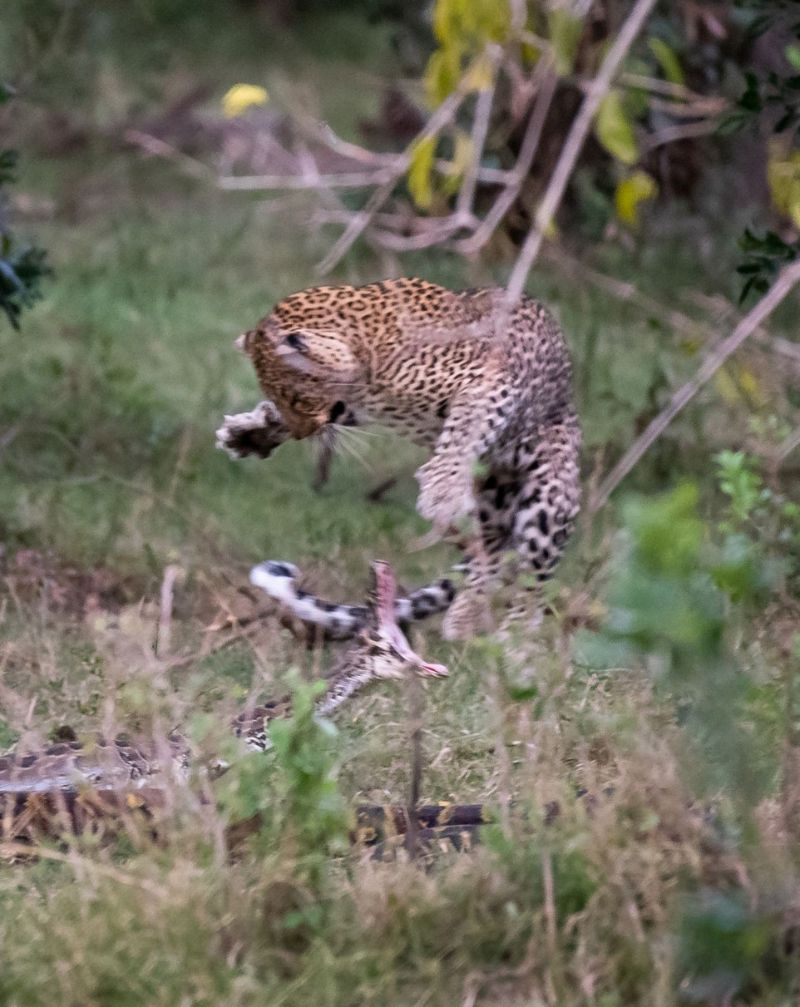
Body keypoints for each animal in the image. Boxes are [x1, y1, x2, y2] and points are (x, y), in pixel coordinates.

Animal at [216, 277, 580, 636]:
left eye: (297, 398)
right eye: (279, 397)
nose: (304, 432)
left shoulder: (489, 380)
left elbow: (465, 428)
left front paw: (441, 490)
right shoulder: (354, 404)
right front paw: (248, 434)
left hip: (550, 500)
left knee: (532, 582)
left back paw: (509, 635)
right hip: (490, 506)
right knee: (487, 551)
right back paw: (464, 617)